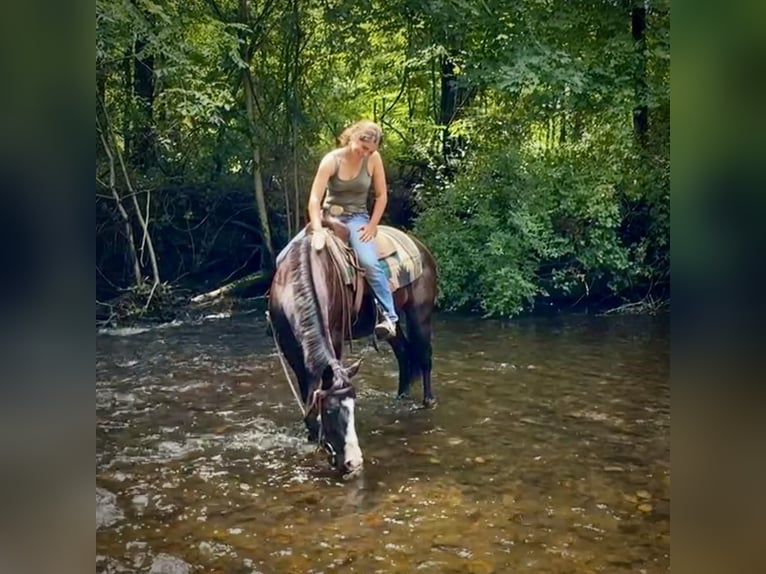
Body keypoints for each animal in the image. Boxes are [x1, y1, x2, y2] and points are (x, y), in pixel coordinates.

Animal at [270, 218, 438, 474]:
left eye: (353, 408)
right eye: (329, 411)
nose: (355, 462)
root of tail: (421, 246)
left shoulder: (336, 338)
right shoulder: (292, 353)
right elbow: (307, 394)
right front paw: (311, 434)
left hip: (420, 313)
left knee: (424, 356)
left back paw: (428, 402)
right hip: (392, 325)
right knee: (404, 354)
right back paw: (401, 397)